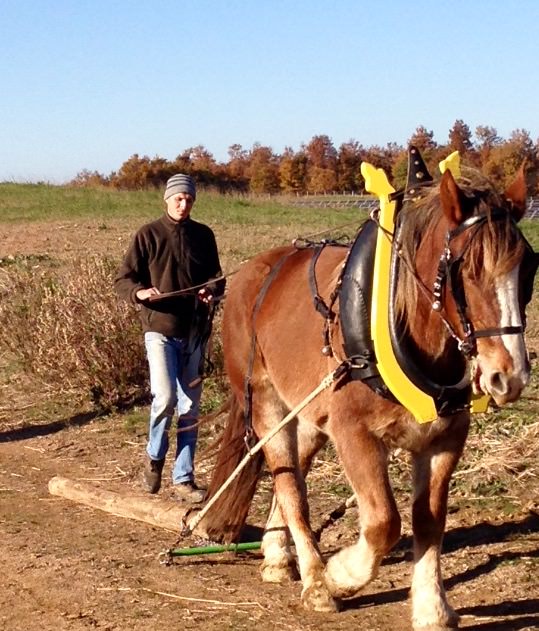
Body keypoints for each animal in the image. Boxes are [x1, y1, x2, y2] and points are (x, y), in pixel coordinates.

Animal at [201, 163, 536, 631]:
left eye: (529, 269)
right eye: (465, 269)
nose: (511, 375)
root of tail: (256, 270)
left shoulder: (444, 440)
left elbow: (428, 521)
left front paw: (432, 606)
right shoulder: (354, 434)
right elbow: (383, 523)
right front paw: (340, 575)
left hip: (307, 414)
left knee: (293, 471)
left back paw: (277, 555)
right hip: (265, 401)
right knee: (289, 484)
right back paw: (315, 580)